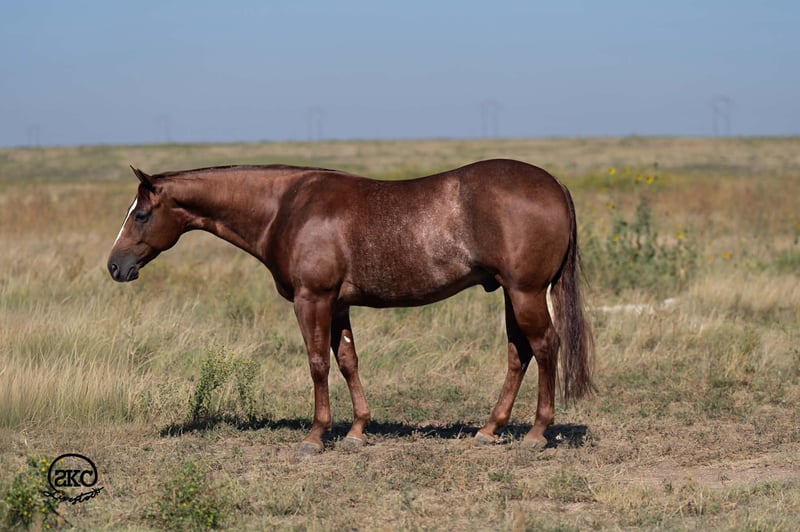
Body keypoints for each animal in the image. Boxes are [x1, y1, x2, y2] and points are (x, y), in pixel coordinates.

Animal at [107, 159, 594, 456]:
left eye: (141, 214)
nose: (115, 266)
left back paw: (537, 433)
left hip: (526, 292)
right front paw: (358, 430)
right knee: (519, 353)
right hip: (513, 294)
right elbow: (347, 361)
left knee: (544, 348)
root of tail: (554, 184)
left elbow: (318, 363)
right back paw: (490, 429)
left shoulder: (312, 299)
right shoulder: (338, 305)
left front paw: (316, 435)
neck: (285, 207)